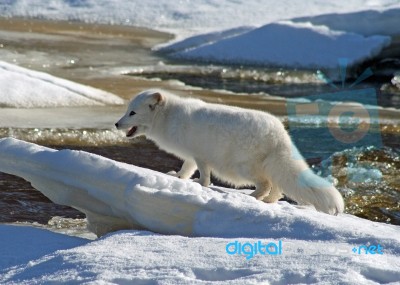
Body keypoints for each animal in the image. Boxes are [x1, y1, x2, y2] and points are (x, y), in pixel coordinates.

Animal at [115, 90, 344, 214]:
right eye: (126, 110)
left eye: (132, 113)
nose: (117, 124)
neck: (169, 117)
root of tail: (280, 135)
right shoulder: (191, 156)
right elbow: (186, 168)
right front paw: (178, 177)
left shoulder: (201, 155)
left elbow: (204, 174)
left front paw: (201, 185)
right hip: (270, 166)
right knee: (278, 188)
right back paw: (268, 201)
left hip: (244, 167)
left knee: (266, 184)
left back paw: (253, 197)